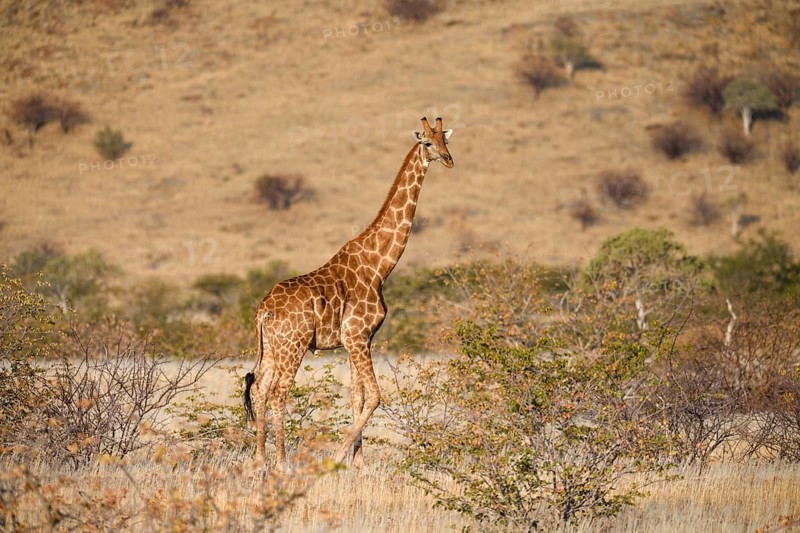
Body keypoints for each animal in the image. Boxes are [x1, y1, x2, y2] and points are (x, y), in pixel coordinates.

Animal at [243, 116, 454, 470]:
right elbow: (376, 396)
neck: (379, 265)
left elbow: (357, 396)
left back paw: (259, 462)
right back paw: (283, 464)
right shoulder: (356, 335)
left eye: (446, 140)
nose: (449, 160)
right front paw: (338, 458)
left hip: (272, 346)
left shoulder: (360, 339)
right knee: (278, 392)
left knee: (259, 389)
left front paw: (357, 465)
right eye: (427, 142)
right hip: (293, 345)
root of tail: (263, 310)